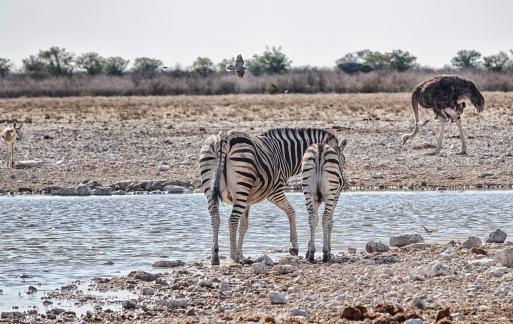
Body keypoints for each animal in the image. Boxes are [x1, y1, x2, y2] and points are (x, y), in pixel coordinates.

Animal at [199, 128, 340, 264]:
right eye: (339, 159)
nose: (340, 182)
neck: (284, 155)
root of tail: (223, 138)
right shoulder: (275, 192)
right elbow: (291, 211)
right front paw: (294, 247)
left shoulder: (248, 200)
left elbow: (244, 226)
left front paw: (242, 254)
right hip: (241, 183)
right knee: (232, 220)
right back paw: (233, 257)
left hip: (212, 185)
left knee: (215, 218)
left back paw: (215, 256)